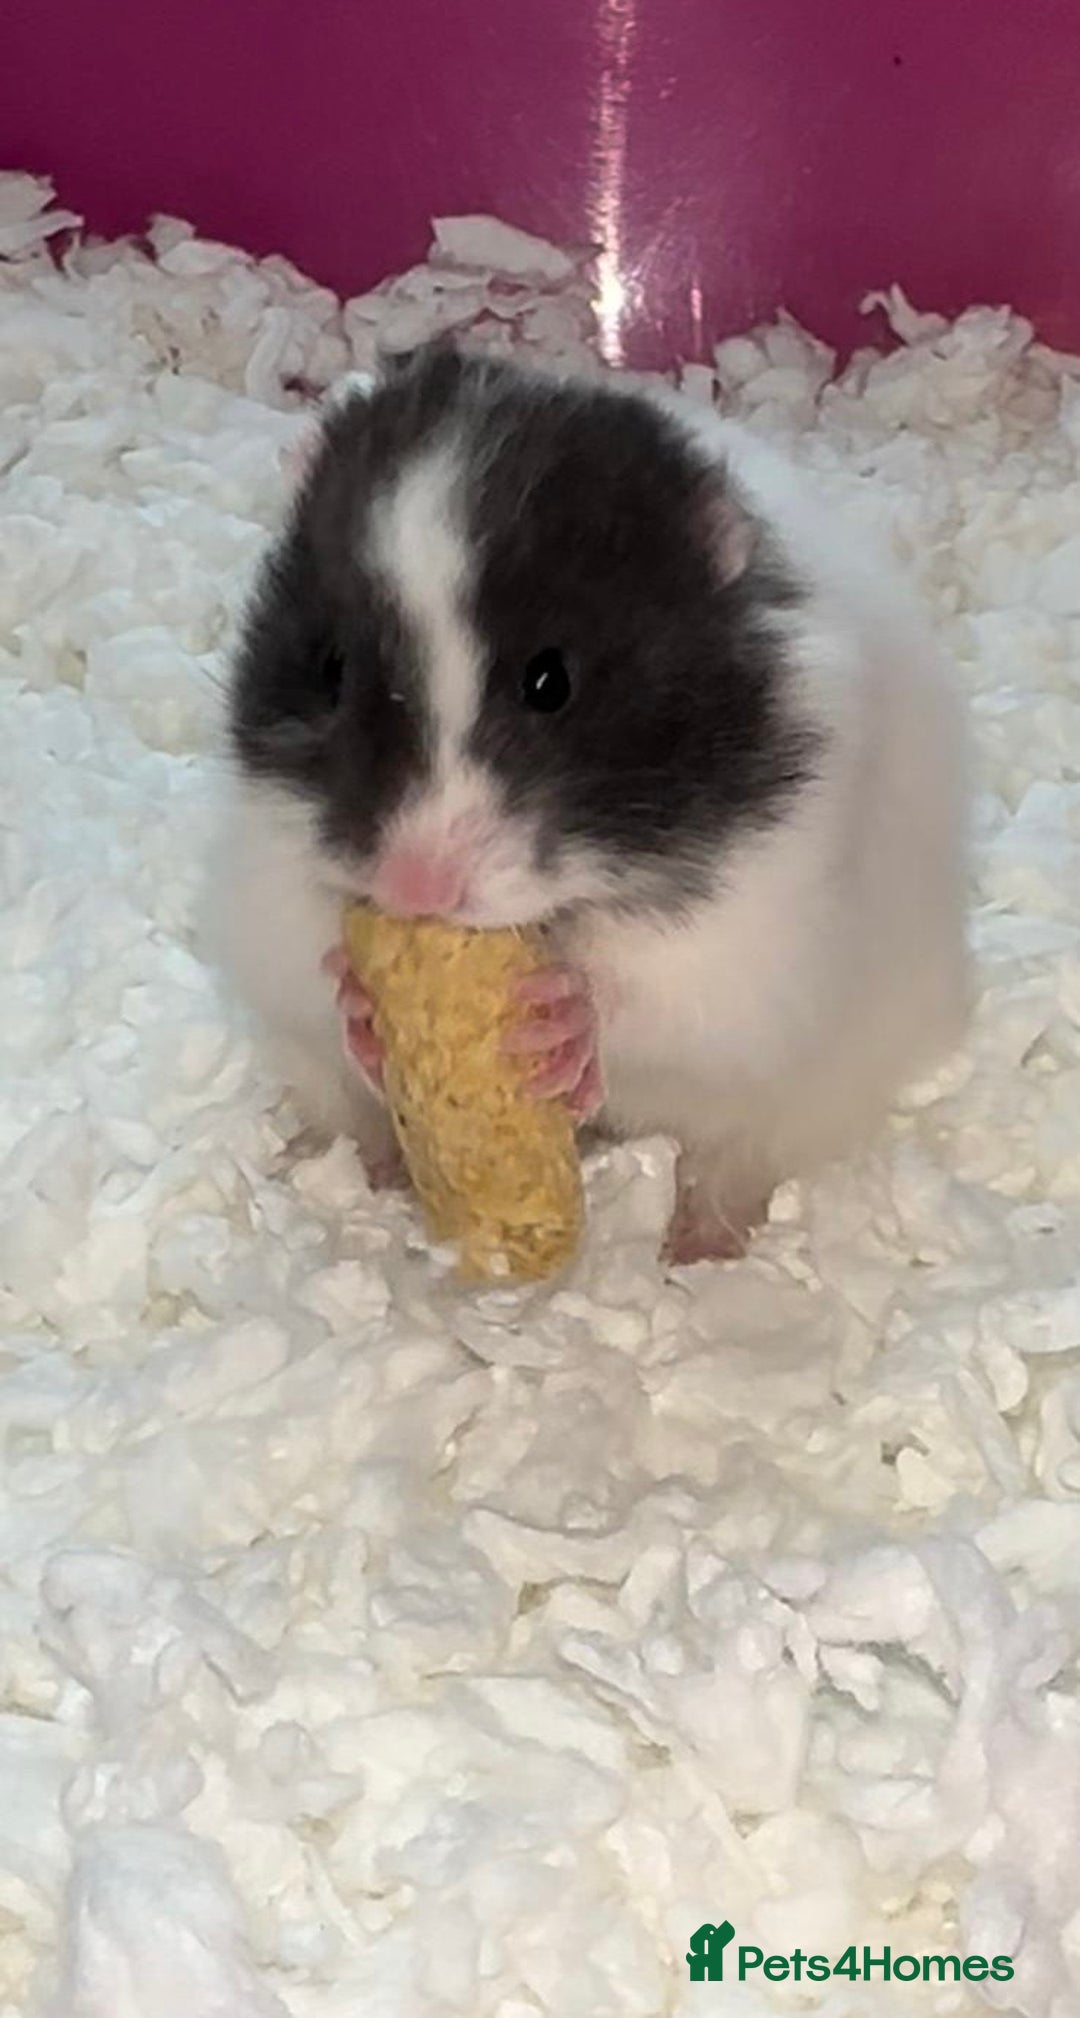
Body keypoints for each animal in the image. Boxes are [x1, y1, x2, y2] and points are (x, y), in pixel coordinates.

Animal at [201, 342, 969, 1263]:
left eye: (551, 681)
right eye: (331, 667)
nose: (415, 889)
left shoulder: (755, 950)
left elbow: (652, 1001)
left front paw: (557, 1019)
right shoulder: (269, 878)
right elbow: (308, 969)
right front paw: (360, 998)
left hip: (814, 1090)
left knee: (732, 1164)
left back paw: (697, 1251)